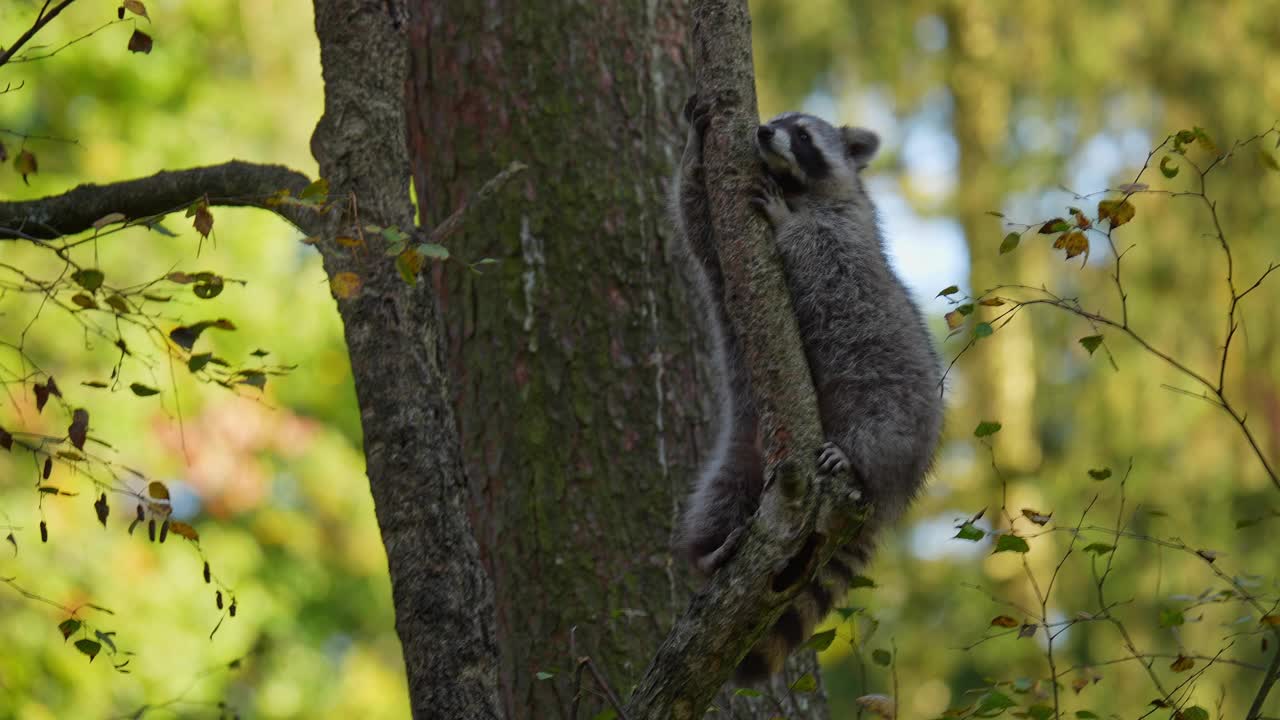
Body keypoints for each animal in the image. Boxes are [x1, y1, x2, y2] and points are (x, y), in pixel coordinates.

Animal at [675, 99, 947, 676]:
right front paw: (692, 147)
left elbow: (817, 253)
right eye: (776, 121)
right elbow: (697, 224)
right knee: (720, 498)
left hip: (892, 408)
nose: (760, 131)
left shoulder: (845, 231)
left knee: (878, 429)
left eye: (802, 135)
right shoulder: (725, 244)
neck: (798, 186)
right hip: (742, 455)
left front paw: (785, 222)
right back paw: (710, 553)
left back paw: (856, 460)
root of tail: (899, 490)